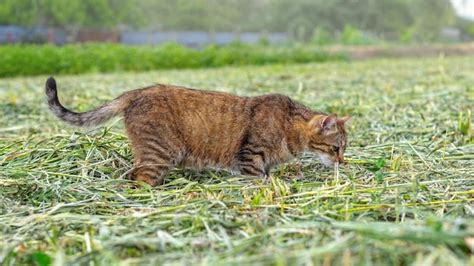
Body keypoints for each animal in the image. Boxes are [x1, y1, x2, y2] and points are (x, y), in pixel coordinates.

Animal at [46, 76, 350, 186]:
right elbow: (259, 181)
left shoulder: (264, 163)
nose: (342, 162)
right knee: (139, 178)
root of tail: (138, 91)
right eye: (336, 148)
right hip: (160, 153)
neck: (289, 127)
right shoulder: (250, 158)